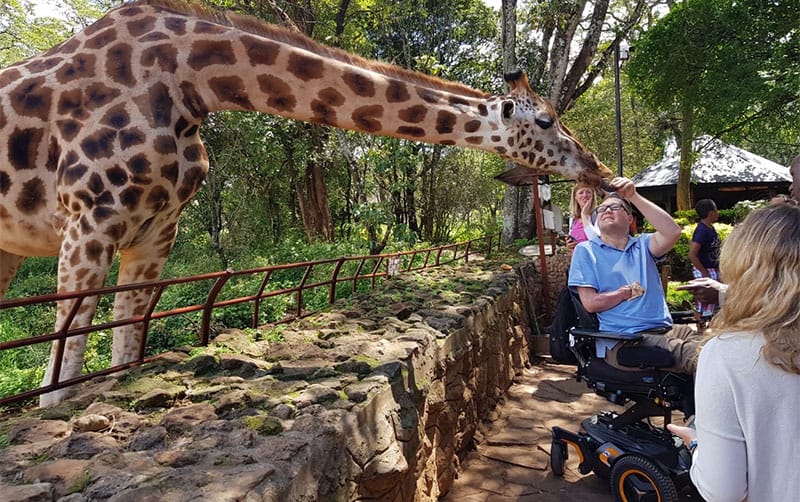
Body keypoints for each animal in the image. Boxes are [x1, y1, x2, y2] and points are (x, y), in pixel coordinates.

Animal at [1, 0, 612, 406]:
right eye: (546, 120)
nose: (598, 168)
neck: (188, 83)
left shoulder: (156, 231)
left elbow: (126, 341)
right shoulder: (88, 220)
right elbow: (62, 363)